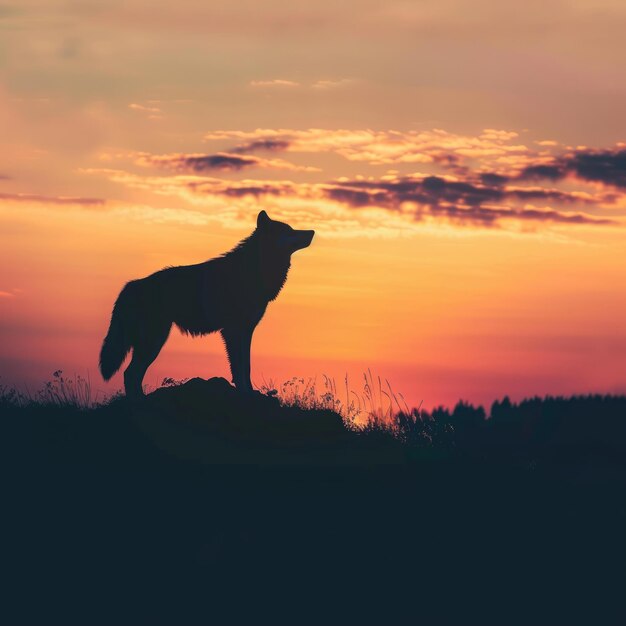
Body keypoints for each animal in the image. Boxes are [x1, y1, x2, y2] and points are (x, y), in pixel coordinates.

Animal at [100, 210, 314, 394]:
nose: (312, 231)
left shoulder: (246, 330)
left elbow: (246, 366)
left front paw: (250, 392)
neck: (254, 271)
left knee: (132, 375)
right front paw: (244, 392)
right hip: (153, 341)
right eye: (288, 230)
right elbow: (239, 367)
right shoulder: (232, 330)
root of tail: (130, 286)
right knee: (130, 374)